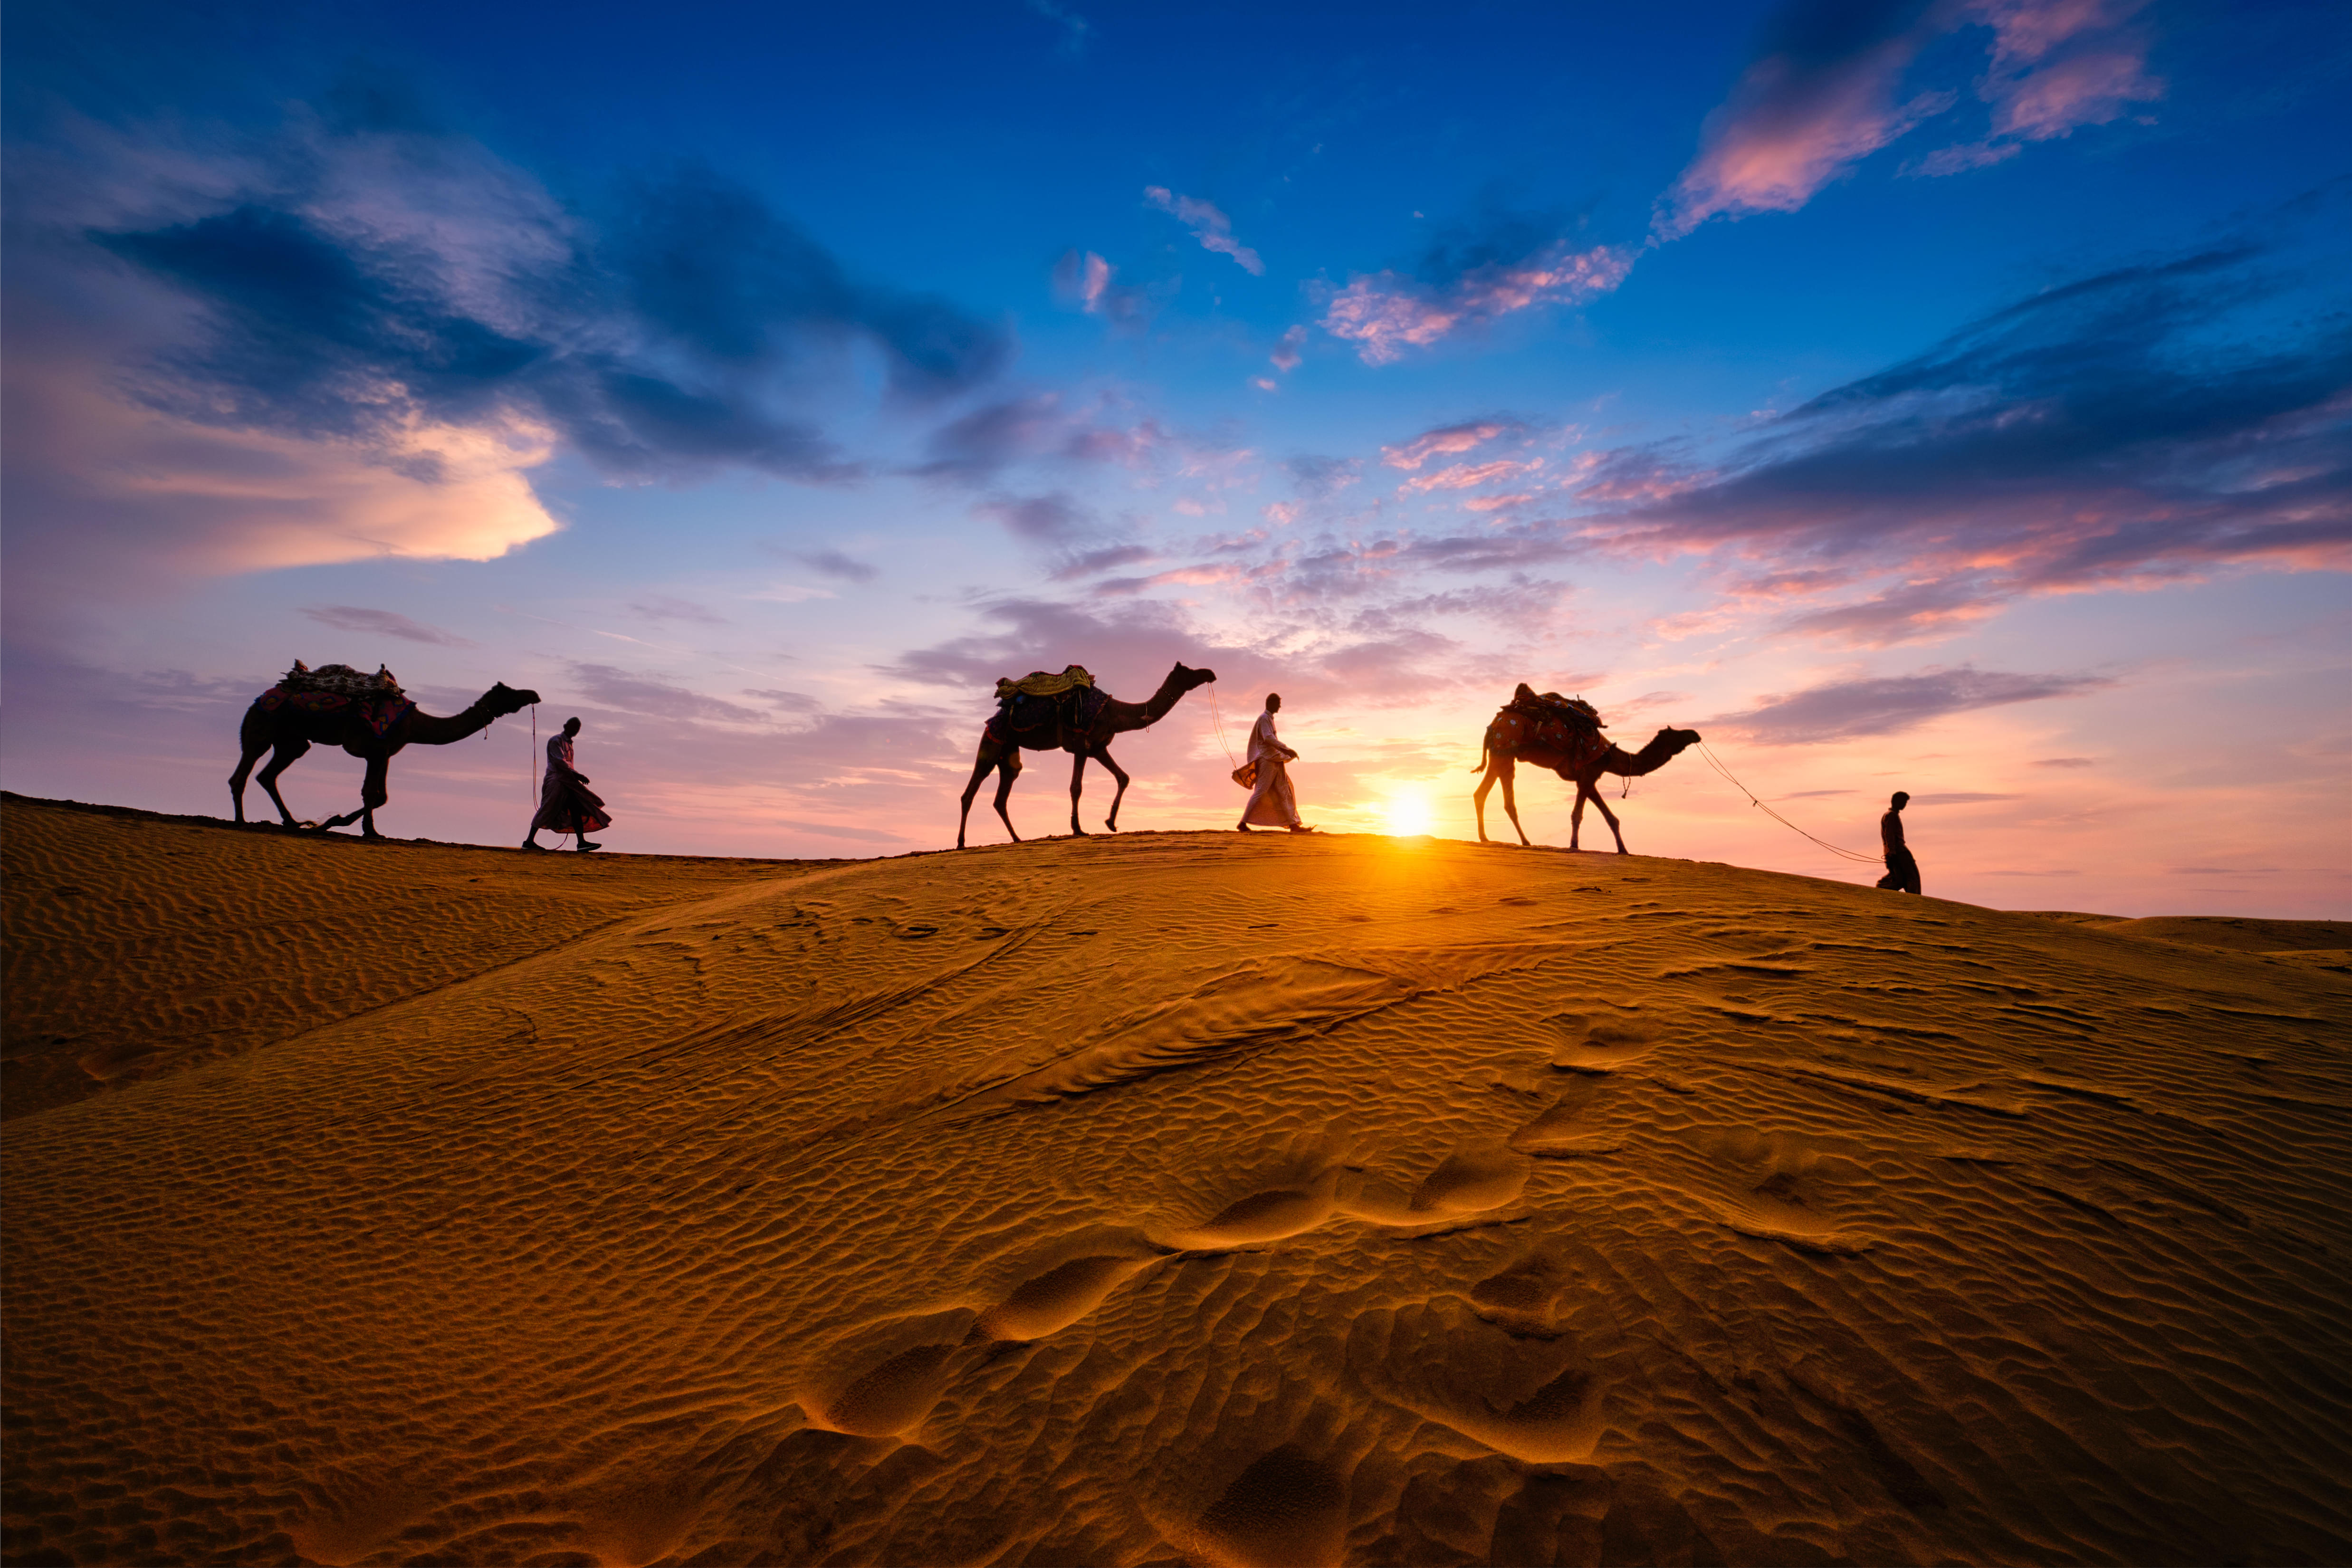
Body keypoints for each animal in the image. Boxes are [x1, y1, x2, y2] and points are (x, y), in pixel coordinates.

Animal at [231, 681, 538, 841]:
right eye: (510, 692)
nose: (534, 694)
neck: (416, 724)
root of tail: (259, 699)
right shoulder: (375, 749)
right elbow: (371, 793)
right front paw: (368, 831)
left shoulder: (387, 753)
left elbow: (382, 797)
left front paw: (334, 822)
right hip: (262, 727)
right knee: (243, 773)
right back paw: (241, 821)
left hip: (292, 741)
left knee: (268, 775)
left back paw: (292, 822)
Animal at [950, 658, 1214, 846]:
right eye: (1190, 671)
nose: (1210, 673)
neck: (1113, 712)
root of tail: (993, 716)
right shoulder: (1080, 742)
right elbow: (1076, 787)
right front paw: (1078, 829)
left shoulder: (1098, 747)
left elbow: (1124, 777)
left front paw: (1110, 823)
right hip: (992, 740)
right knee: (970, 791)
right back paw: (961, 843)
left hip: (1009, 751)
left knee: (1002, 795)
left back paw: (1017, 839)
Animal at [1458, 691, 1702, 851]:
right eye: (1678, 734)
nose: (1696, 734)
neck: (1610, 755)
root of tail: (1494, 723)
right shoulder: (1589, 772)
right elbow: (1578, 814)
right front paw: (1574, 846)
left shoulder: (1587, 778)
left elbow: (1612, 818)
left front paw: (1624, 851)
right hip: (1506, 748)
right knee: (1500, 797)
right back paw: (1522, 841)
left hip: (1500, 752)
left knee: (1485, 794)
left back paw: (1488, 838)